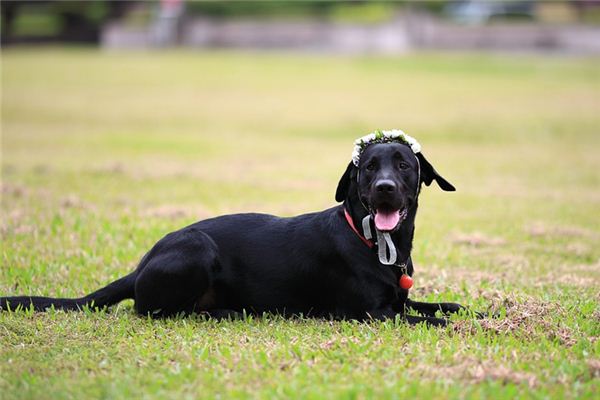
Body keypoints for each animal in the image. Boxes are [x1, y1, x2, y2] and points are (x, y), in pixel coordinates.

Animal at [0, 141, 468, 324]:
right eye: (368, 168)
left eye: (403, 165)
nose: (385, 187)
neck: (372, 241)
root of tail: (140, 266)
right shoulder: (373, 314)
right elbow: (436, 321)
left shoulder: (399, 301)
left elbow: (449, 307)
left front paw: (477, 313)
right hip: (197, 250)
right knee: (156, 311)